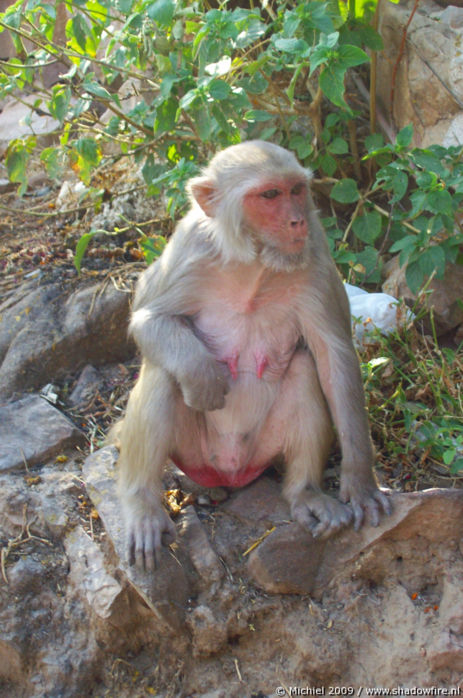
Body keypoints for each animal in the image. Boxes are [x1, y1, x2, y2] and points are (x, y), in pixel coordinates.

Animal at [117, 140, 392, 564]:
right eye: (269, 195)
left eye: (296, 189)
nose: (297, 220)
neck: (254, 264)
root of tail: (229, 473)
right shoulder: (188, 248)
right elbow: (148, 318)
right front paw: (202, 374)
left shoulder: (314, 252)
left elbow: (334, 358)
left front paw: (361, 481)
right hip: (193, 456)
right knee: (163, 371)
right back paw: (142, 506)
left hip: (261, 453)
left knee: (303, 366)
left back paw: (305, 493)